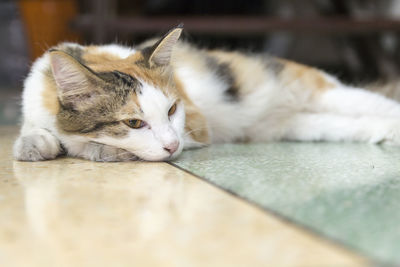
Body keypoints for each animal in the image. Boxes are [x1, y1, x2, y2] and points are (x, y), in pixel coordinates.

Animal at [13, 25, 400, 162]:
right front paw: (35, 144)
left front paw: (99, 149)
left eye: (172, 110)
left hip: (325, 92)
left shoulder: (197, 127)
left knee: (383, 104)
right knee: (353, 125)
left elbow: (85, 144)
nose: (172, 146)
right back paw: (386, 135)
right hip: (301, 125)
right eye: (134, 122)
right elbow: (33, 131)